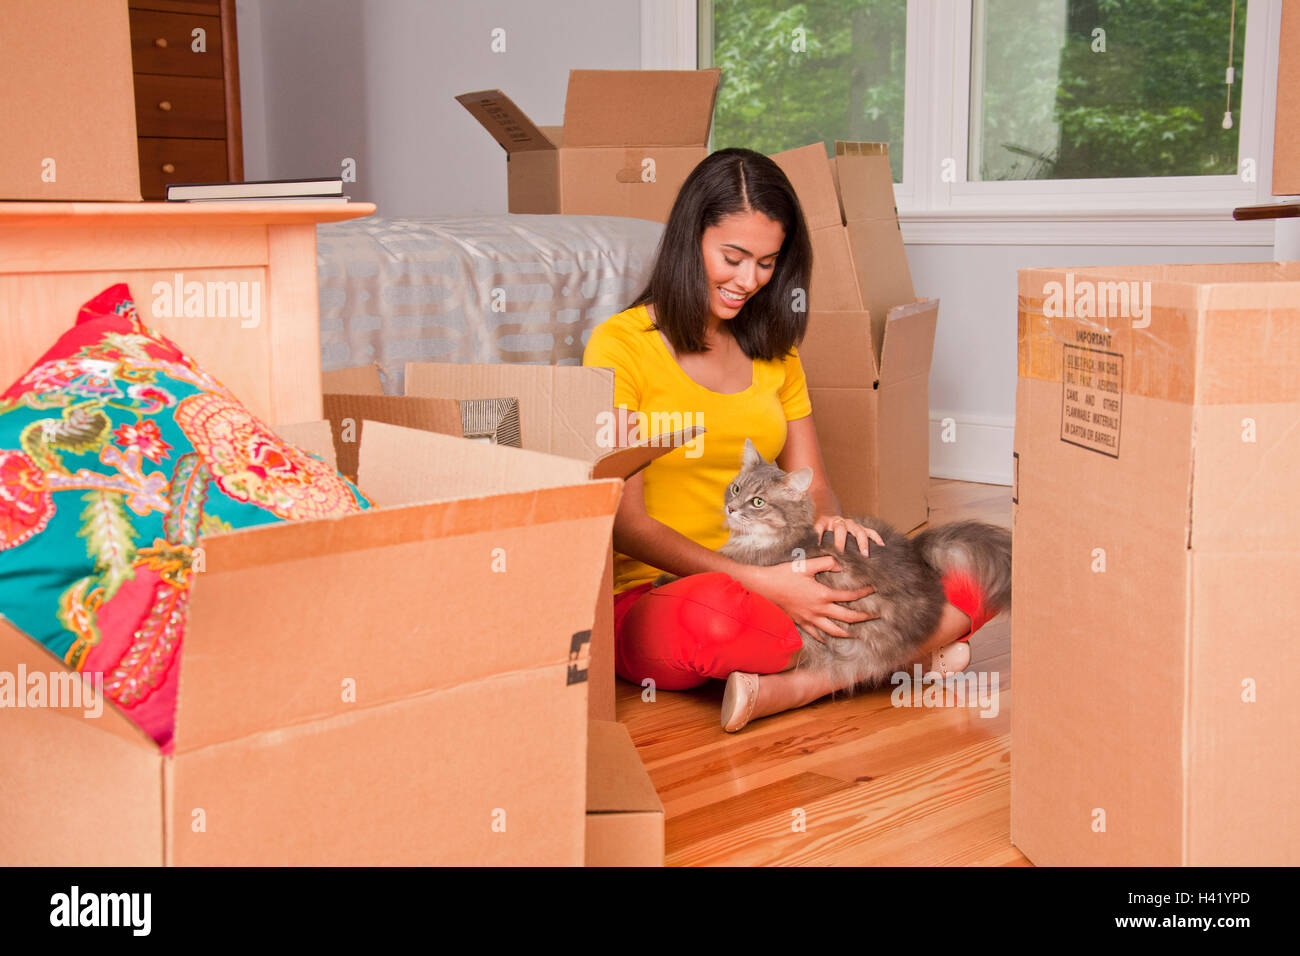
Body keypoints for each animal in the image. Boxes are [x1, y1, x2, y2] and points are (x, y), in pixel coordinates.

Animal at [655, 437, 1008, 691]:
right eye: (736, 488)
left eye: (757, 502)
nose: (731, 508)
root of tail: (916, 552)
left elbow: (703, 567)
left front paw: (660, 580)